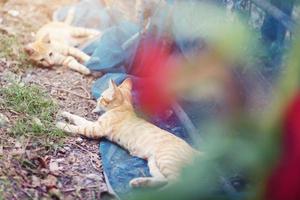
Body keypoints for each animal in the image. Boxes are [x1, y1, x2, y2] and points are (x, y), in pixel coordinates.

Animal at [57, 78, 200, 188]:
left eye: (102, 97)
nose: (97, 99)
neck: (123, 107)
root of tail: (194, 150)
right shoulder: (95, 125)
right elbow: (79, 119)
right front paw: (66, 114)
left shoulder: (96, 129)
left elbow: (79, 126)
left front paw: (61, 125)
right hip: (153, 163)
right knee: (164, 180)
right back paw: (140, 183)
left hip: (166, 160)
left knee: (177, 183)